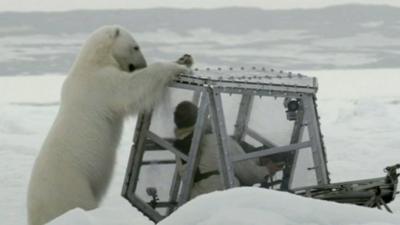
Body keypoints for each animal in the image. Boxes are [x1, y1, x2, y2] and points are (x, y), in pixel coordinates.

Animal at [26, 25, 192, 225]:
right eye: (135, 47)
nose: (142, 64)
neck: (93, 61)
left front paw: (184, 58)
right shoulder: (101, 83)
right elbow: (130, 89)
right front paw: (177, 66)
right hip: (73, 188)